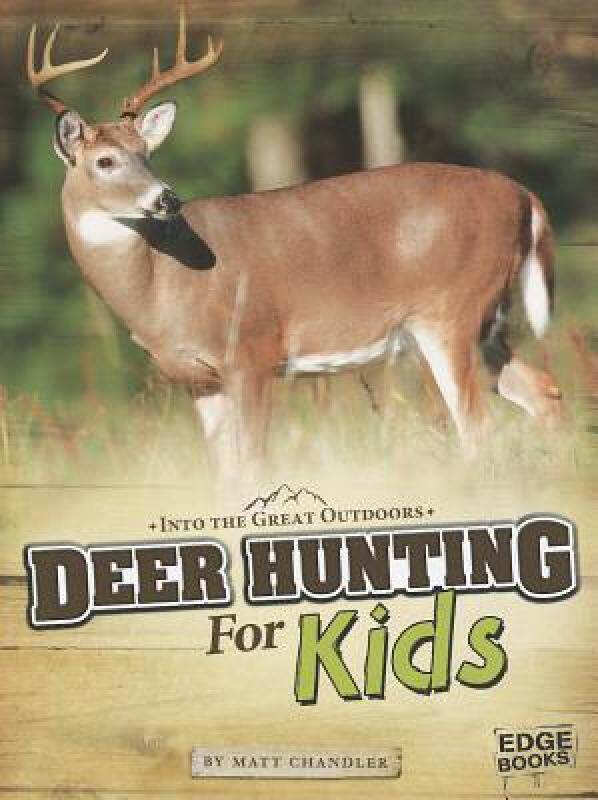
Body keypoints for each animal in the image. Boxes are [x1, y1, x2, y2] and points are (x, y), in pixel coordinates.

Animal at [26, 10, 563, 478]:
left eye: (146, 154)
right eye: (106, 161)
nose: (167, 197)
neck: (161, 288)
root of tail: (523, 194)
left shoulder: (252, 351)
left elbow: (254, 464)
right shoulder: (198, 379)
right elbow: (223, 475)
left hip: (450, 310)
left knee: (478, 425)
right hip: (487, 320)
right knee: (543, 391)